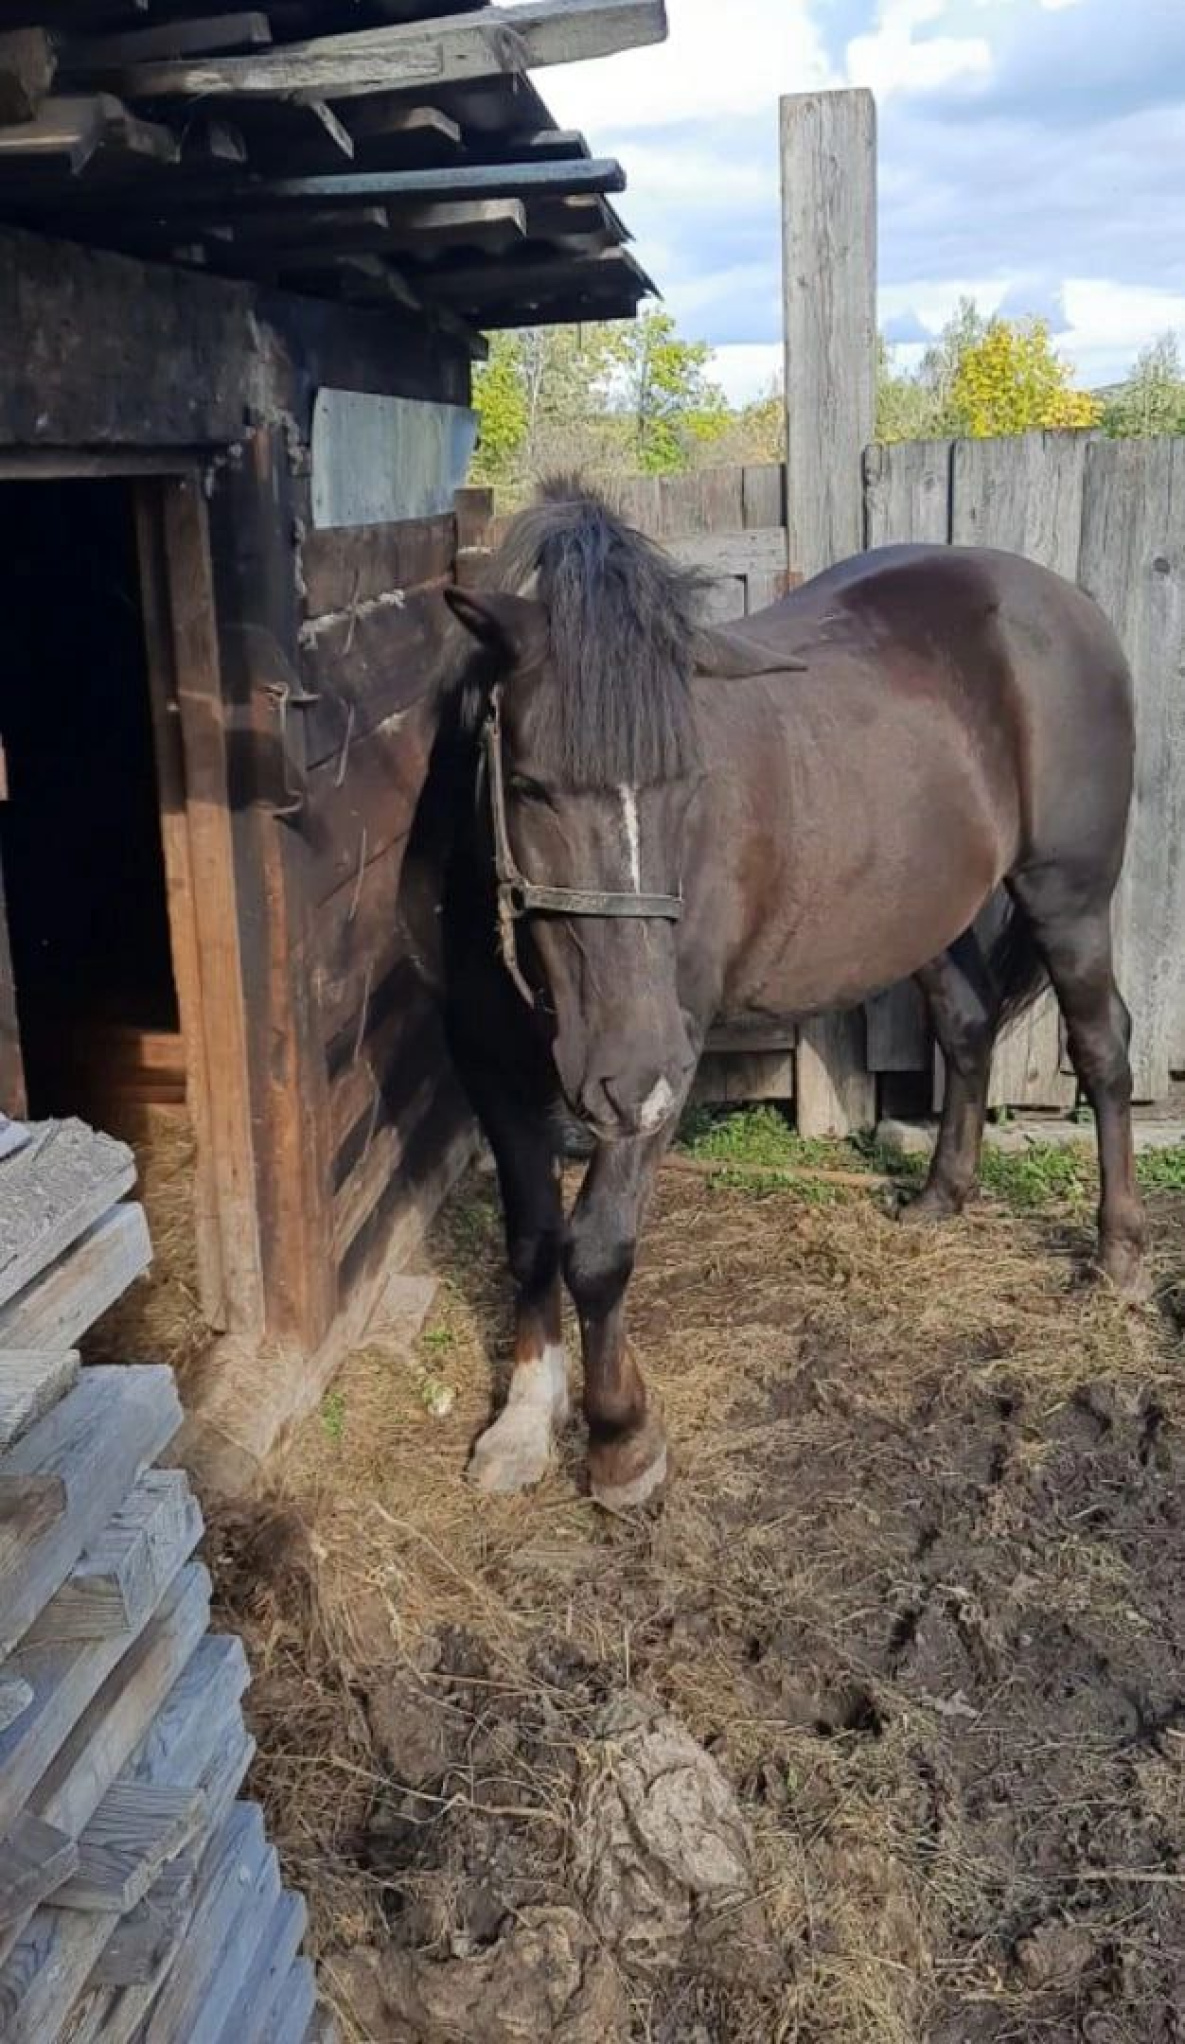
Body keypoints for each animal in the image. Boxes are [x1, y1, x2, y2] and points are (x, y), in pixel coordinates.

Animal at [439, 474, 1144, 1504]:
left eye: (689, 780)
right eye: (527, 785)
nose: (627, 1076)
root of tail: (1066, 602)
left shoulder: (666, 1056)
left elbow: (597, 1248)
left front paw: (620, 1440)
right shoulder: (489, 1063)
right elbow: (530, 1237)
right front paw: (525, 1423)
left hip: (1067, 897)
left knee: (1101, 1051)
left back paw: (1118, 1253)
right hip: (923, 910)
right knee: (966, 1026)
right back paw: (941, 1199)